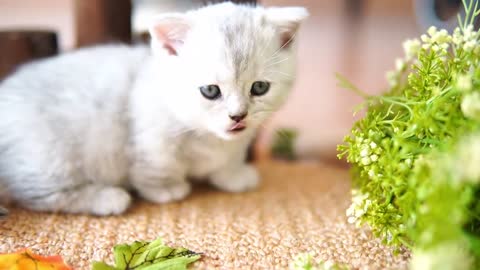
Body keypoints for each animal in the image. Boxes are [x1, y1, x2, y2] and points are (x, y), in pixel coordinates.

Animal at [0, 2, 308, 215]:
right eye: (210, 91)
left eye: (259, 88)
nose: (238, 115)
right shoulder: (150, 137)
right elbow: (159, 165)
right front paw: (166, 190)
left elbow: (229, 157)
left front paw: (231, 175)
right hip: (49, 154)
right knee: (38, 195)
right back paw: (108, 198)